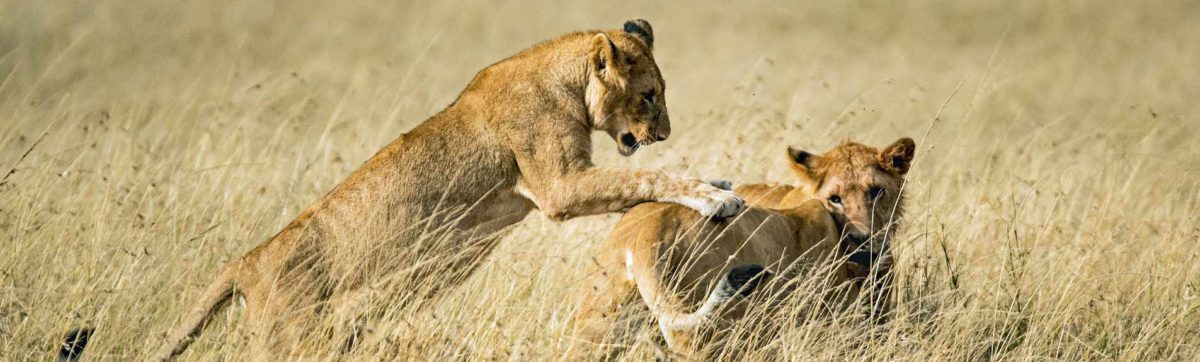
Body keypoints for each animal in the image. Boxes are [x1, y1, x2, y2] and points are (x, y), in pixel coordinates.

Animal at [136, 20, 744, 362]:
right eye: (649, 95)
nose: (663, 133)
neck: (565, 81)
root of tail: (247, 261)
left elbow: (643, 176)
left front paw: (715, 183)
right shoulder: (558, 187)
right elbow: (647, 177)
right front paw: (717, 196)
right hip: (290, 339)